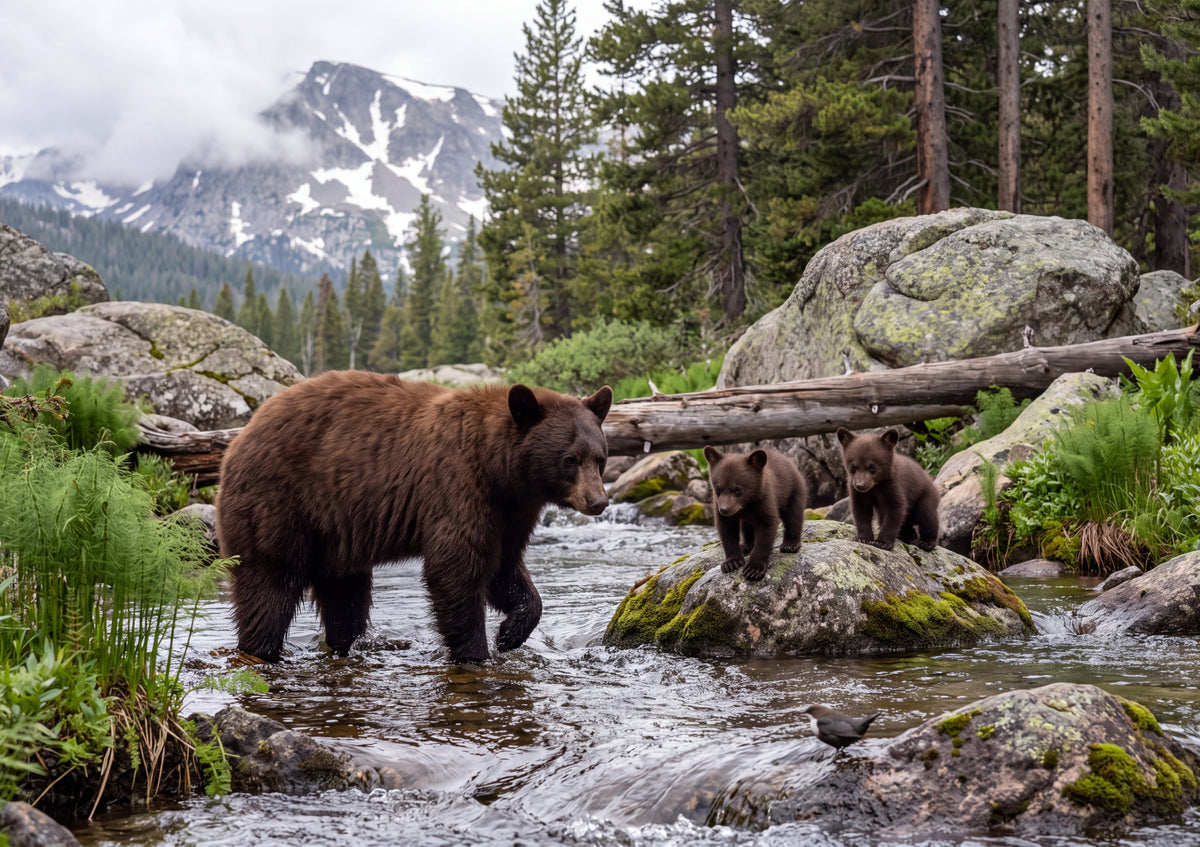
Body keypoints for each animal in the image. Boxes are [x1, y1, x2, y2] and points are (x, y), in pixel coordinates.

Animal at [215, 370, 613, 663]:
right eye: (569, 459)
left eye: (600, 457)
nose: (598, 501)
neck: (499, 470)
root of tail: (239, 438)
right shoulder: (457, 488)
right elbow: (456, 569)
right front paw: (476, 651)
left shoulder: (510, 514)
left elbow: (505, 570)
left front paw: (510, 633)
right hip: (278, 504)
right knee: (269, 586)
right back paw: (260, 648)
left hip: (334, 535)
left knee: (346, 600)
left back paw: (339, 644)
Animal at [702, 446, 808, 580]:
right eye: (718, 488)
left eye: (738, 489)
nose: (724, 509)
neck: (746, 505)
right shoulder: (718, 504)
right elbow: (726, 529)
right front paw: (731, 562)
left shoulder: (765, 499)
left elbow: (767, 527)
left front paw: (754, 569)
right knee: (746, 525)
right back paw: (746, 546)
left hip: (794, 490)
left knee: (794, 516)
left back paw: (790, 545)